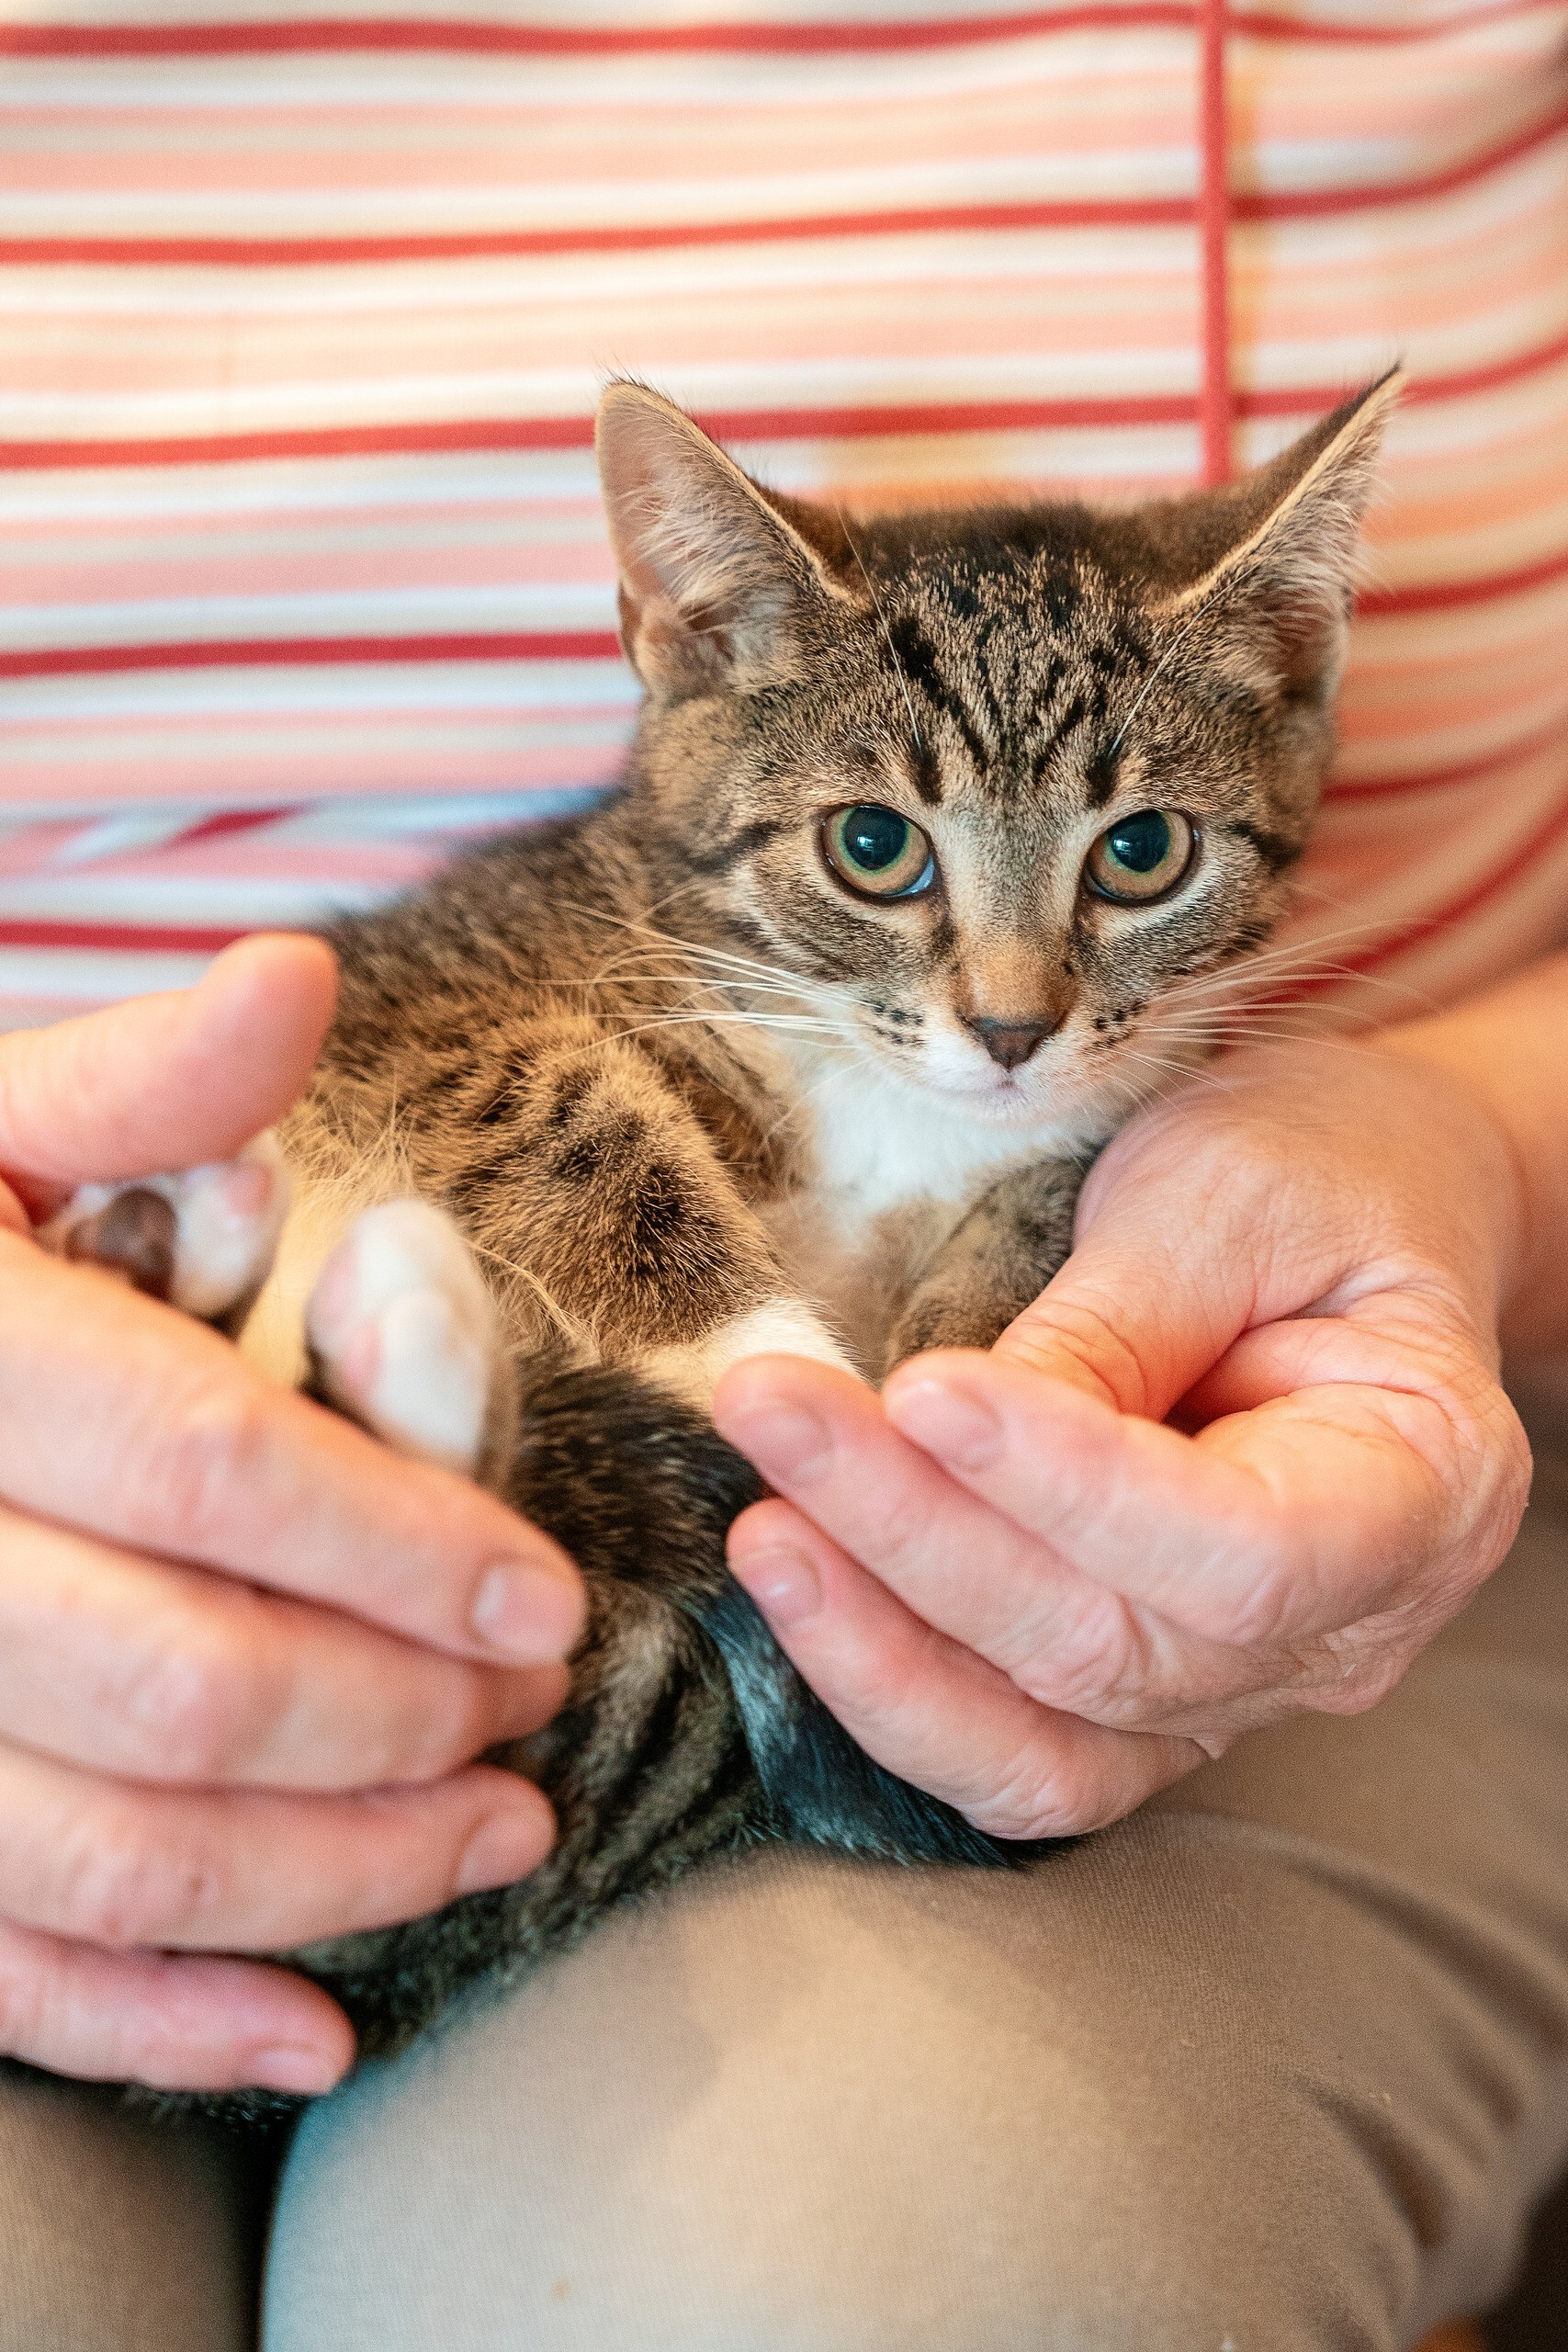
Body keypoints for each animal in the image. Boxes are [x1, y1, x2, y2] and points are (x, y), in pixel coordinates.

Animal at [49, 371, 1401, 2098]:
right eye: (872, 848)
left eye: (1141, 851)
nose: (1012, 1028)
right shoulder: (432, 1023)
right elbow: (564, 1103)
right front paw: (782, 1368)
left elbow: (1050, 1185)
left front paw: (963, 1332)